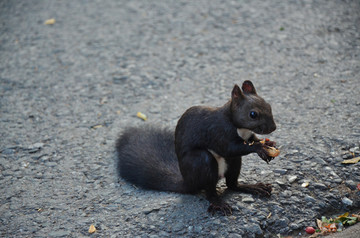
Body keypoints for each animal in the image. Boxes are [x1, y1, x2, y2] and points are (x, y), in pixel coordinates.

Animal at [116, 80, 278, 216]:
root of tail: (187, 181)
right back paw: (218, 203)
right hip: (201, 162)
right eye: (253, 114)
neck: (239, 127)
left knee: (232, 185)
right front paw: (259, 148)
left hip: (233, 163)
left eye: (269, 106)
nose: (273, 128)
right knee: (210, 190)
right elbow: (229, 148)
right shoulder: (218, 131)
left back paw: (253, 187)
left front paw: (268, 144)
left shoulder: (246, 135)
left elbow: (251, 139)